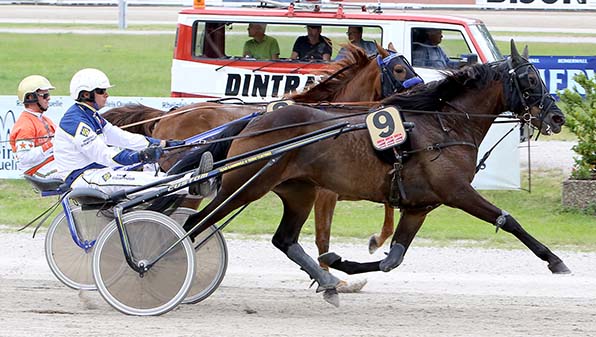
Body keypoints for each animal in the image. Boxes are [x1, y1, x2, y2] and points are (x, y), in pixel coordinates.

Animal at [182, 40, 568, 306]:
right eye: (530, 78)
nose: (558, 116)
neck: (442, 125)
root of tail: (256, 120)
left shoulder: (419, 206)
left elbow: (391, 260)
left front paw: (342, 265)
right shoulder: (456, 192)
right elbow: (508, 220)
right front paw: (555, 260)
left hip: (298, 190)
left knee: (284, 239)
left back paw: (327, 281)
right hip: (246, 184)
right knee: (196, 224)